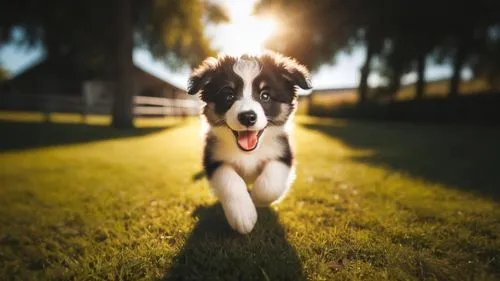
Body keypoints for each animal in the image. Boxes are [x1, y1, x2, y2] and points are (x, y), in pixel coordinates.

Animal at [188, 50, 312, 232]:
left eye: (265, 96)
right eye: (229, 95)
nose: (247, 117)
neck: (249, 153)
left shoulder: (283, 153)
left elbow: (269, 185)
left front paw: (257, 200)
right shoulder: (213, 159)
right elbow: (229, 180)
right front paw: (243, 215)